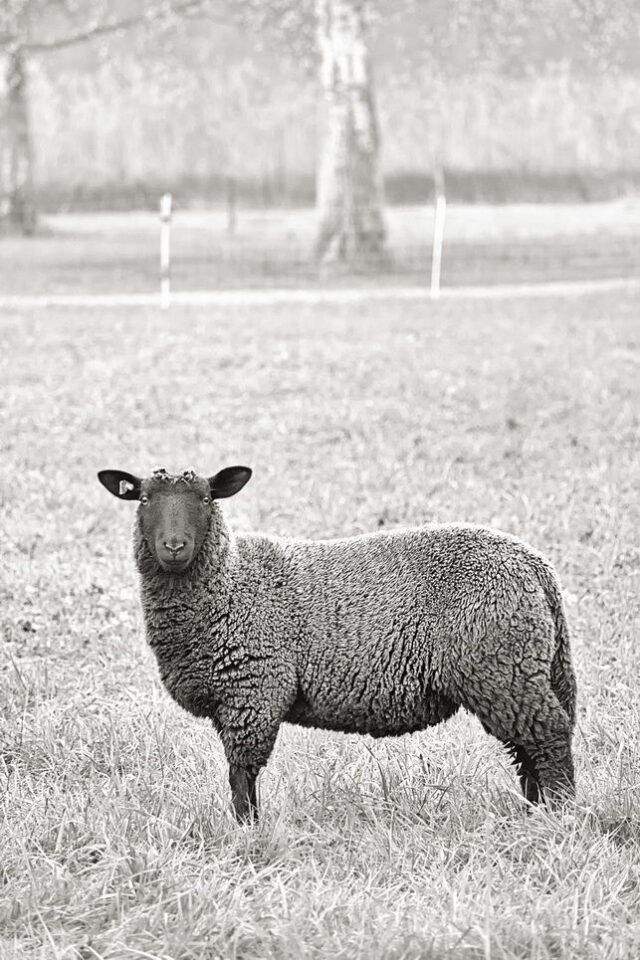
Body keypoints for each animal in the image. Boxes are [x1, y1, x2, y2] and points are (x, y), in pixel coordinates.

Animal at [97, 465, 577, 821]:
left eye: (204, 499)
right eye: (143, 499)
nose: (174, 546)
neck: (230, 582)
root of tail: (535, 566)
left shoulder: (254, 692)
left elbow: (241, 774)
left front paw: (246, 829)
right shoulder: (233, 699)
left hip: (500, 668)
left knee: (549, 736)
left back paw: (561, 813)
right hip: (515, 672)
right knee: (529, 748)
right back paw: (533, 812)